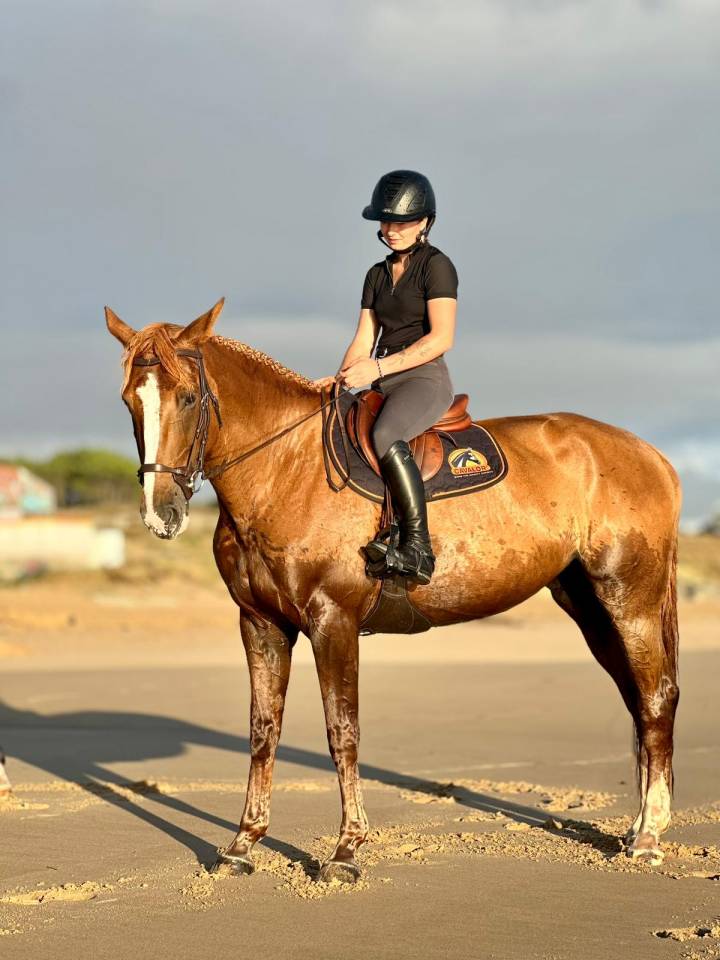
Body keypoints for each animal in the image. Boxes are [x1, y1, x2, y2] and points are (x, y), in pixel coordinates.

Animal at [105, 298, 681, 881]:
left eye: (188, 396)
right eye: (130, 399)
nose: (161, 512)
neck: (285, 470)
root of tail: (649, 455)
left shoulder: (332, 621)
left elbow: (342, 731)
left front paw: (346, 849)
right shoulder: (261, 623)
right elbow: (263, 730)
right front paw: (243, 844)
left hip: (628, 600)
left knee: (656, 698)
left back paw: (649, 836)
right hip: (589, 606)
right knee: (637, 700)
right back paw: (637, 827)